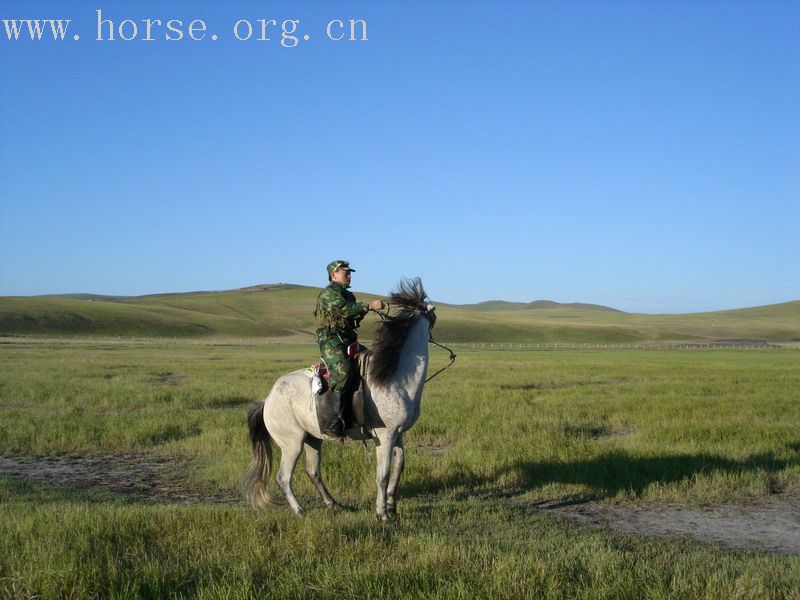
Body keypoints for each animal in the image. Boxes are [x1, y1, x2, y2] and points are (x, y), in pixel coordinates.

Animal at [247, 278, 438, 516]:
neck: (395, 378)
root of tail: (267, 401)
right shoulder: (384, 436)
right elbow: (382, 475)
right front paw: (382, 513)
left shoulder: (398, 434)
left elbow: (399, 467)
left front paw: (391, 505)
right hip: (292, 444)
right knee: (283, 478)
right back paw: (299, 510)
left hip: (313, 439)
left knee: (313, 472)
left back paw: (333, 504)